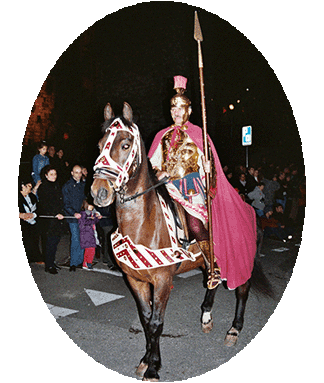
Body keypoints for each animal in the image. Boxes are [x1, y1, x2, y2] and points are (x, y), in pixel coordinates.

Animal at [90, 102, 272, 380]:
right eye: (100, 144)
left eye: (125, 144)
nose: (99, 192)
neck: (144, 223)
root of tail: (249, 207)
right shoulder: (135, 279)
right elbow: (146, 320)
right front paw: (146, 359)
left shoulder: (163, 281)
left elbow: (156, 323)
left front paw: (153, 368)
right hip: (209, 261)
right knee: (212, 280)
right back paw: (206, 315)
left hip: (243, 257)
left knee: (242, 289)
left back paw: (234, 330)